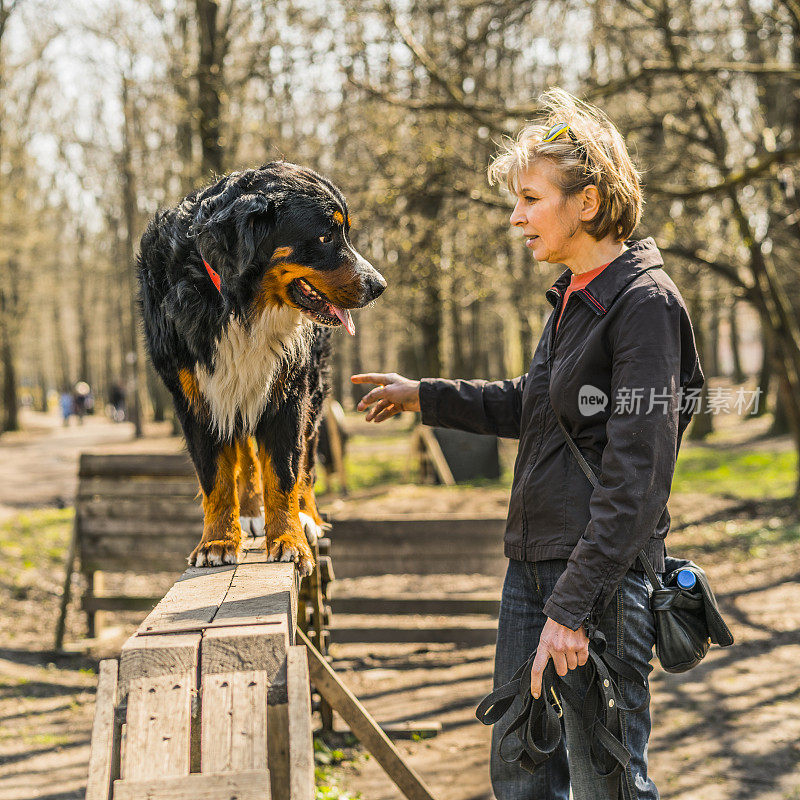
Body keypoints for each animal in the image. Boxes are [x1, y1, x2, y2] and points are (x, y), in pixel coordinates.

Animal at [138, 162, 388, 576]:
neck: (238, 304)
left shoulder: (290, 392)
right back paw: (252, 510)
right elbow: (217, 478)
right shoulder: (196, 399)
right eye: (325, 236)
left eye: (346, 234)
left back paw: (308, 517)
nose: (379, 285)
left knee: (306, 461)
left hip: (314, 397)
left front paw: (290, 539)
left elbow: (285, 473)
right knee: (245, 454)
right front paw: (217, 542)